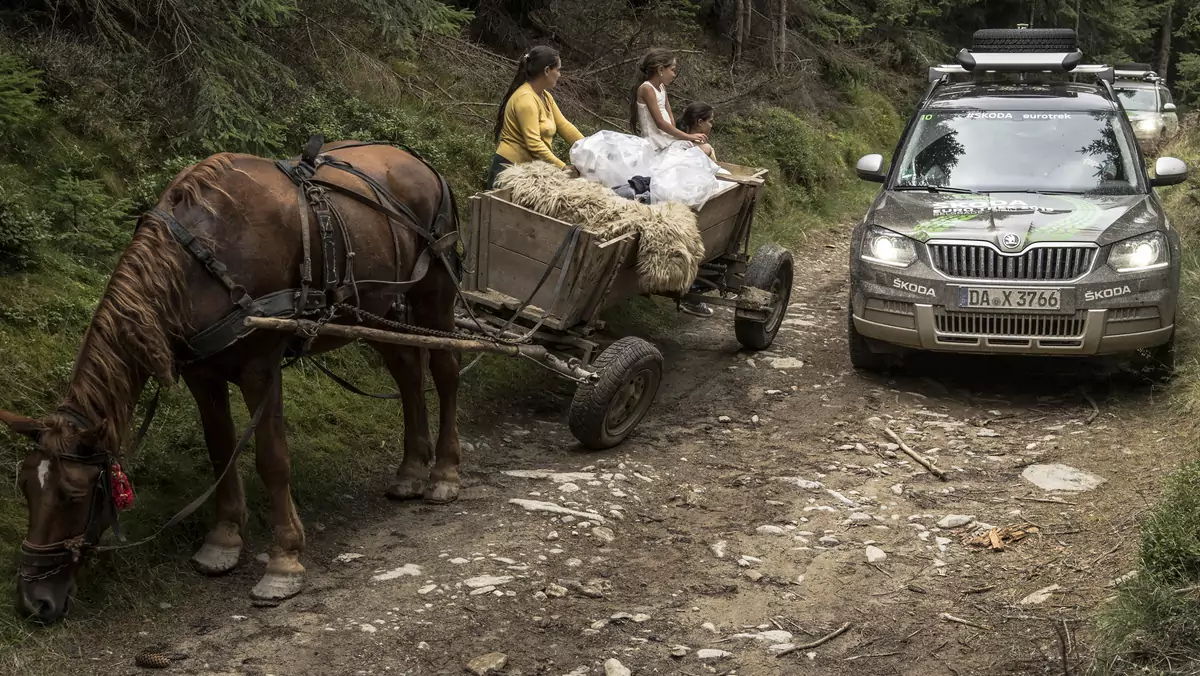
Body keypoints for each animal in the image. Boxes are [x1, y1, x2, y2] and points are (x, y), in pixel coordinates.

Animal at [0, 141, 463, 624]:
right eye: (26, 488)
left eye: (73, 495)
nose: (34, 602)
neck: (204, 255)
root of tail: (420, 164)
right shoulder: (202, 374)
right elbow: (220, 451)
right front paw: (222, 541)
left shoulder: (261, 369)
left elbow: (272, 461)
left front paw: (284, 561)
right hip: (377, 310)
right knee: (408, 374)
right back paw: (412, 471)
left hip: (433, 296)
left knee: (446, 373)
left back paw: (445, 473)